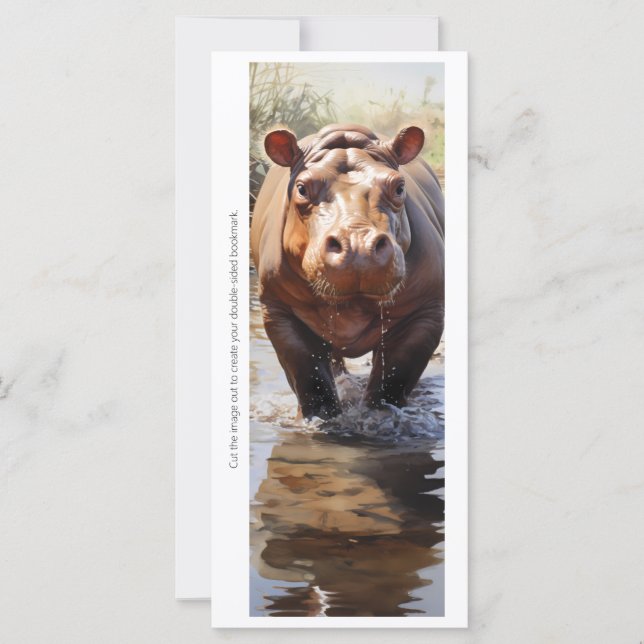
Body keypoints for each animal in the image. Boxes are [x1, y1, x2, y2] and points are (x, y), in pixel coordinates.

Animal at [251, 123, 444, 419]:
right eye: (301, 188)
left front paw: (379, 417)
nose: (358, 245)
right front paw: (320, 420)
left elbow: (394, 377)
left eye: (400, 187)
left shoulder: (427, 309)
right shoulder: (277, 309)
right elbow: (308, 375)